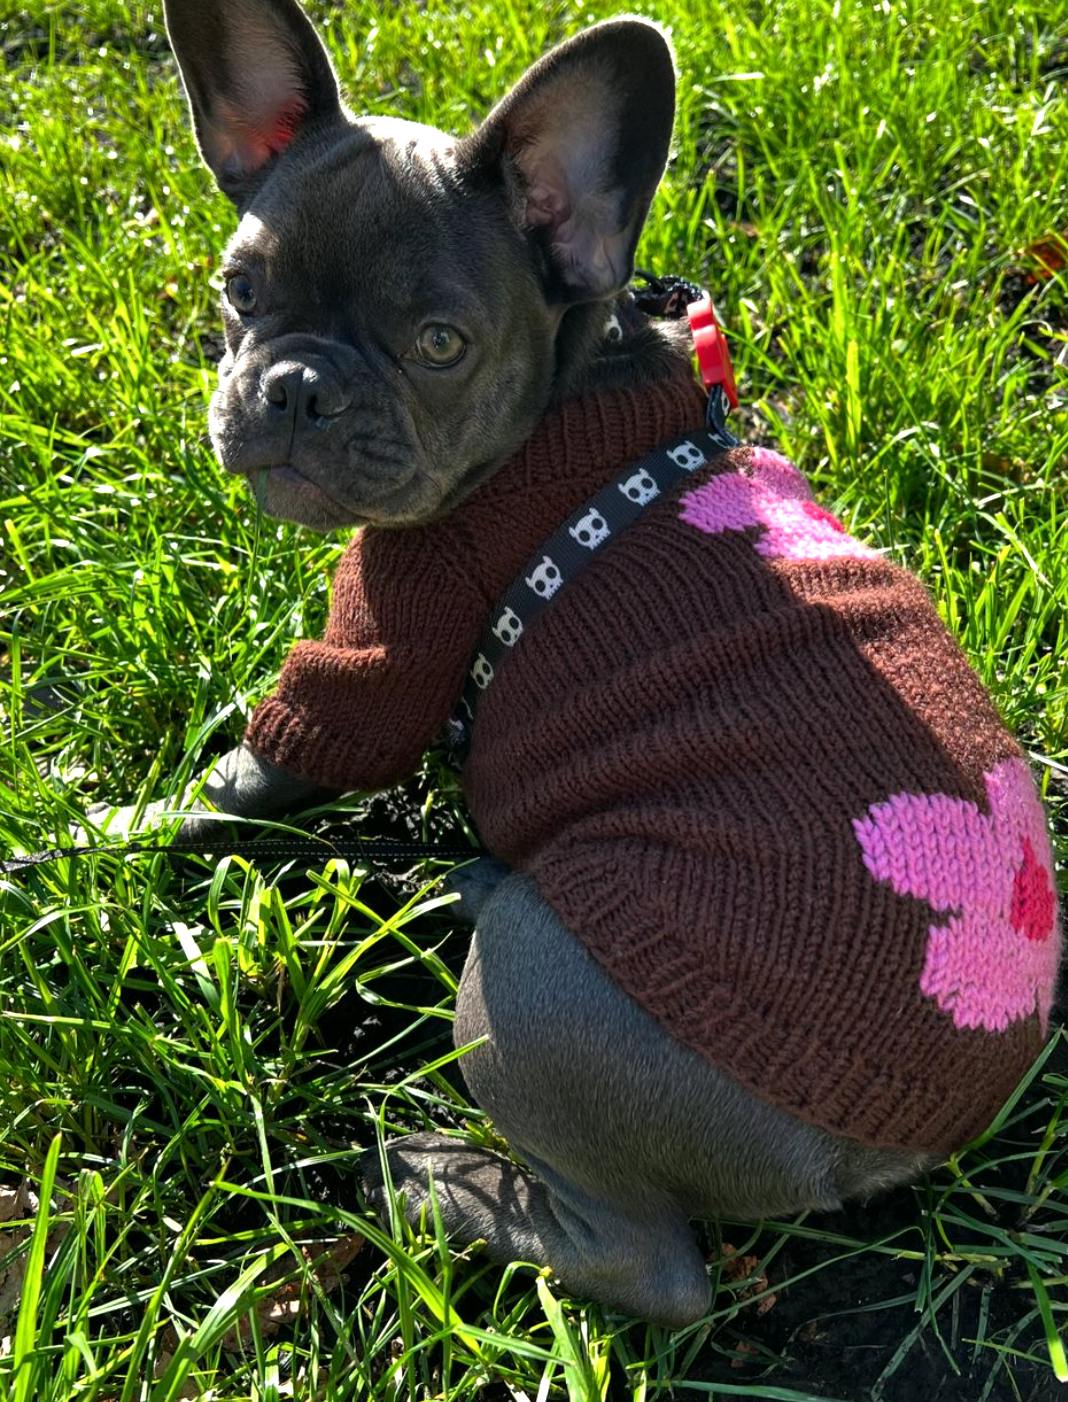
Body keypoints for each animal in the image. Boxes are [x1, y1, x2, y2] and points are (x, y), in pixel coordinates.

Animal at [92, 0, 1060, 1326]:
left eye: (439, 343)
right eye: (239, 290)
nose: (292, 386)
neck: (568, 398)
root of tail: (899, 1142)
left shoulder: (389, 632)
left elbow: (252, 772)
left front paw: (100, 826)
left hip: (534, 989)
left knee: (649, 1266)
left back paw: (439, 1182)